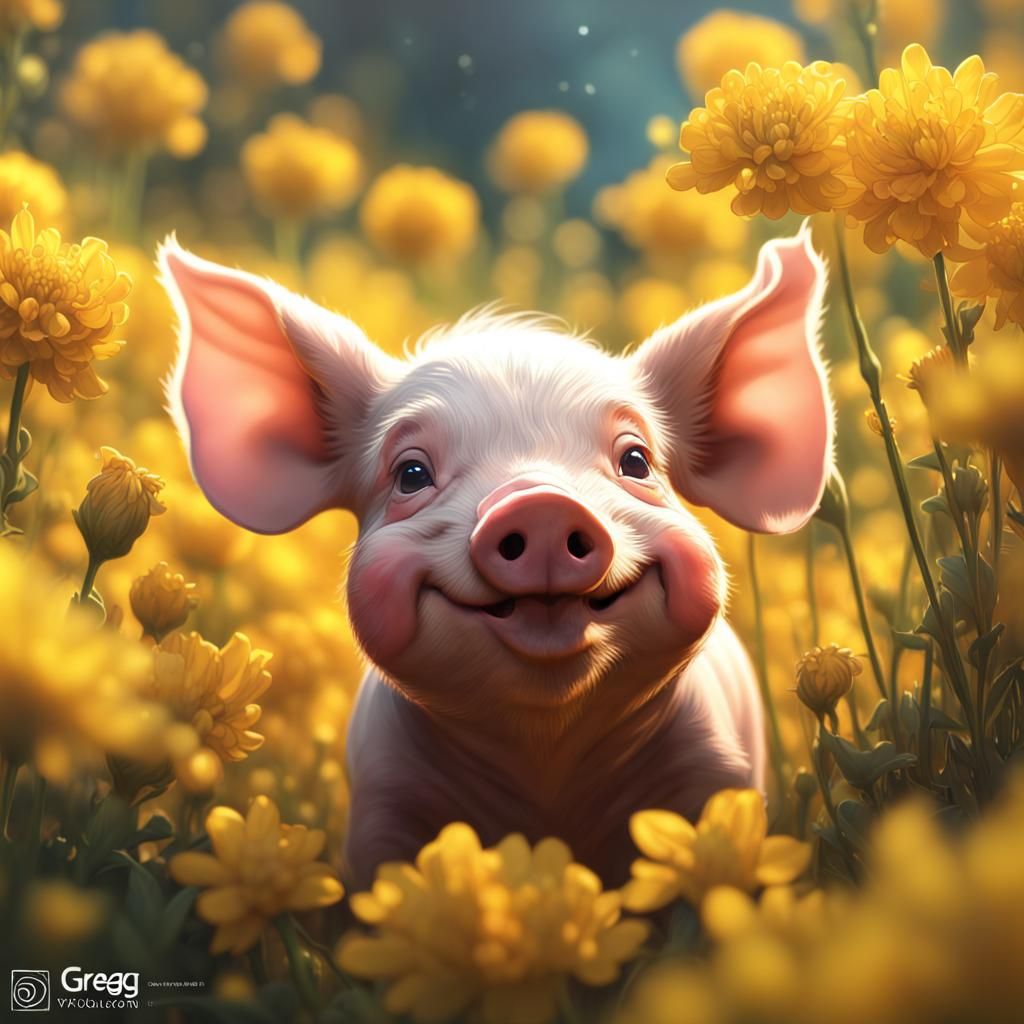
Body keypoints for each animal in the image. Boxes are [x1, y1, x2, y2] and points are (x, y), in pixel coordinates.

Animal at [158, 223, 832, 887]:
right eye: (410, 474)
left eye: (636, 461)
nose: (539, 502)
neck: (545, 768)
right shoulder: (384, 806)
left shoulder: (714, 774)